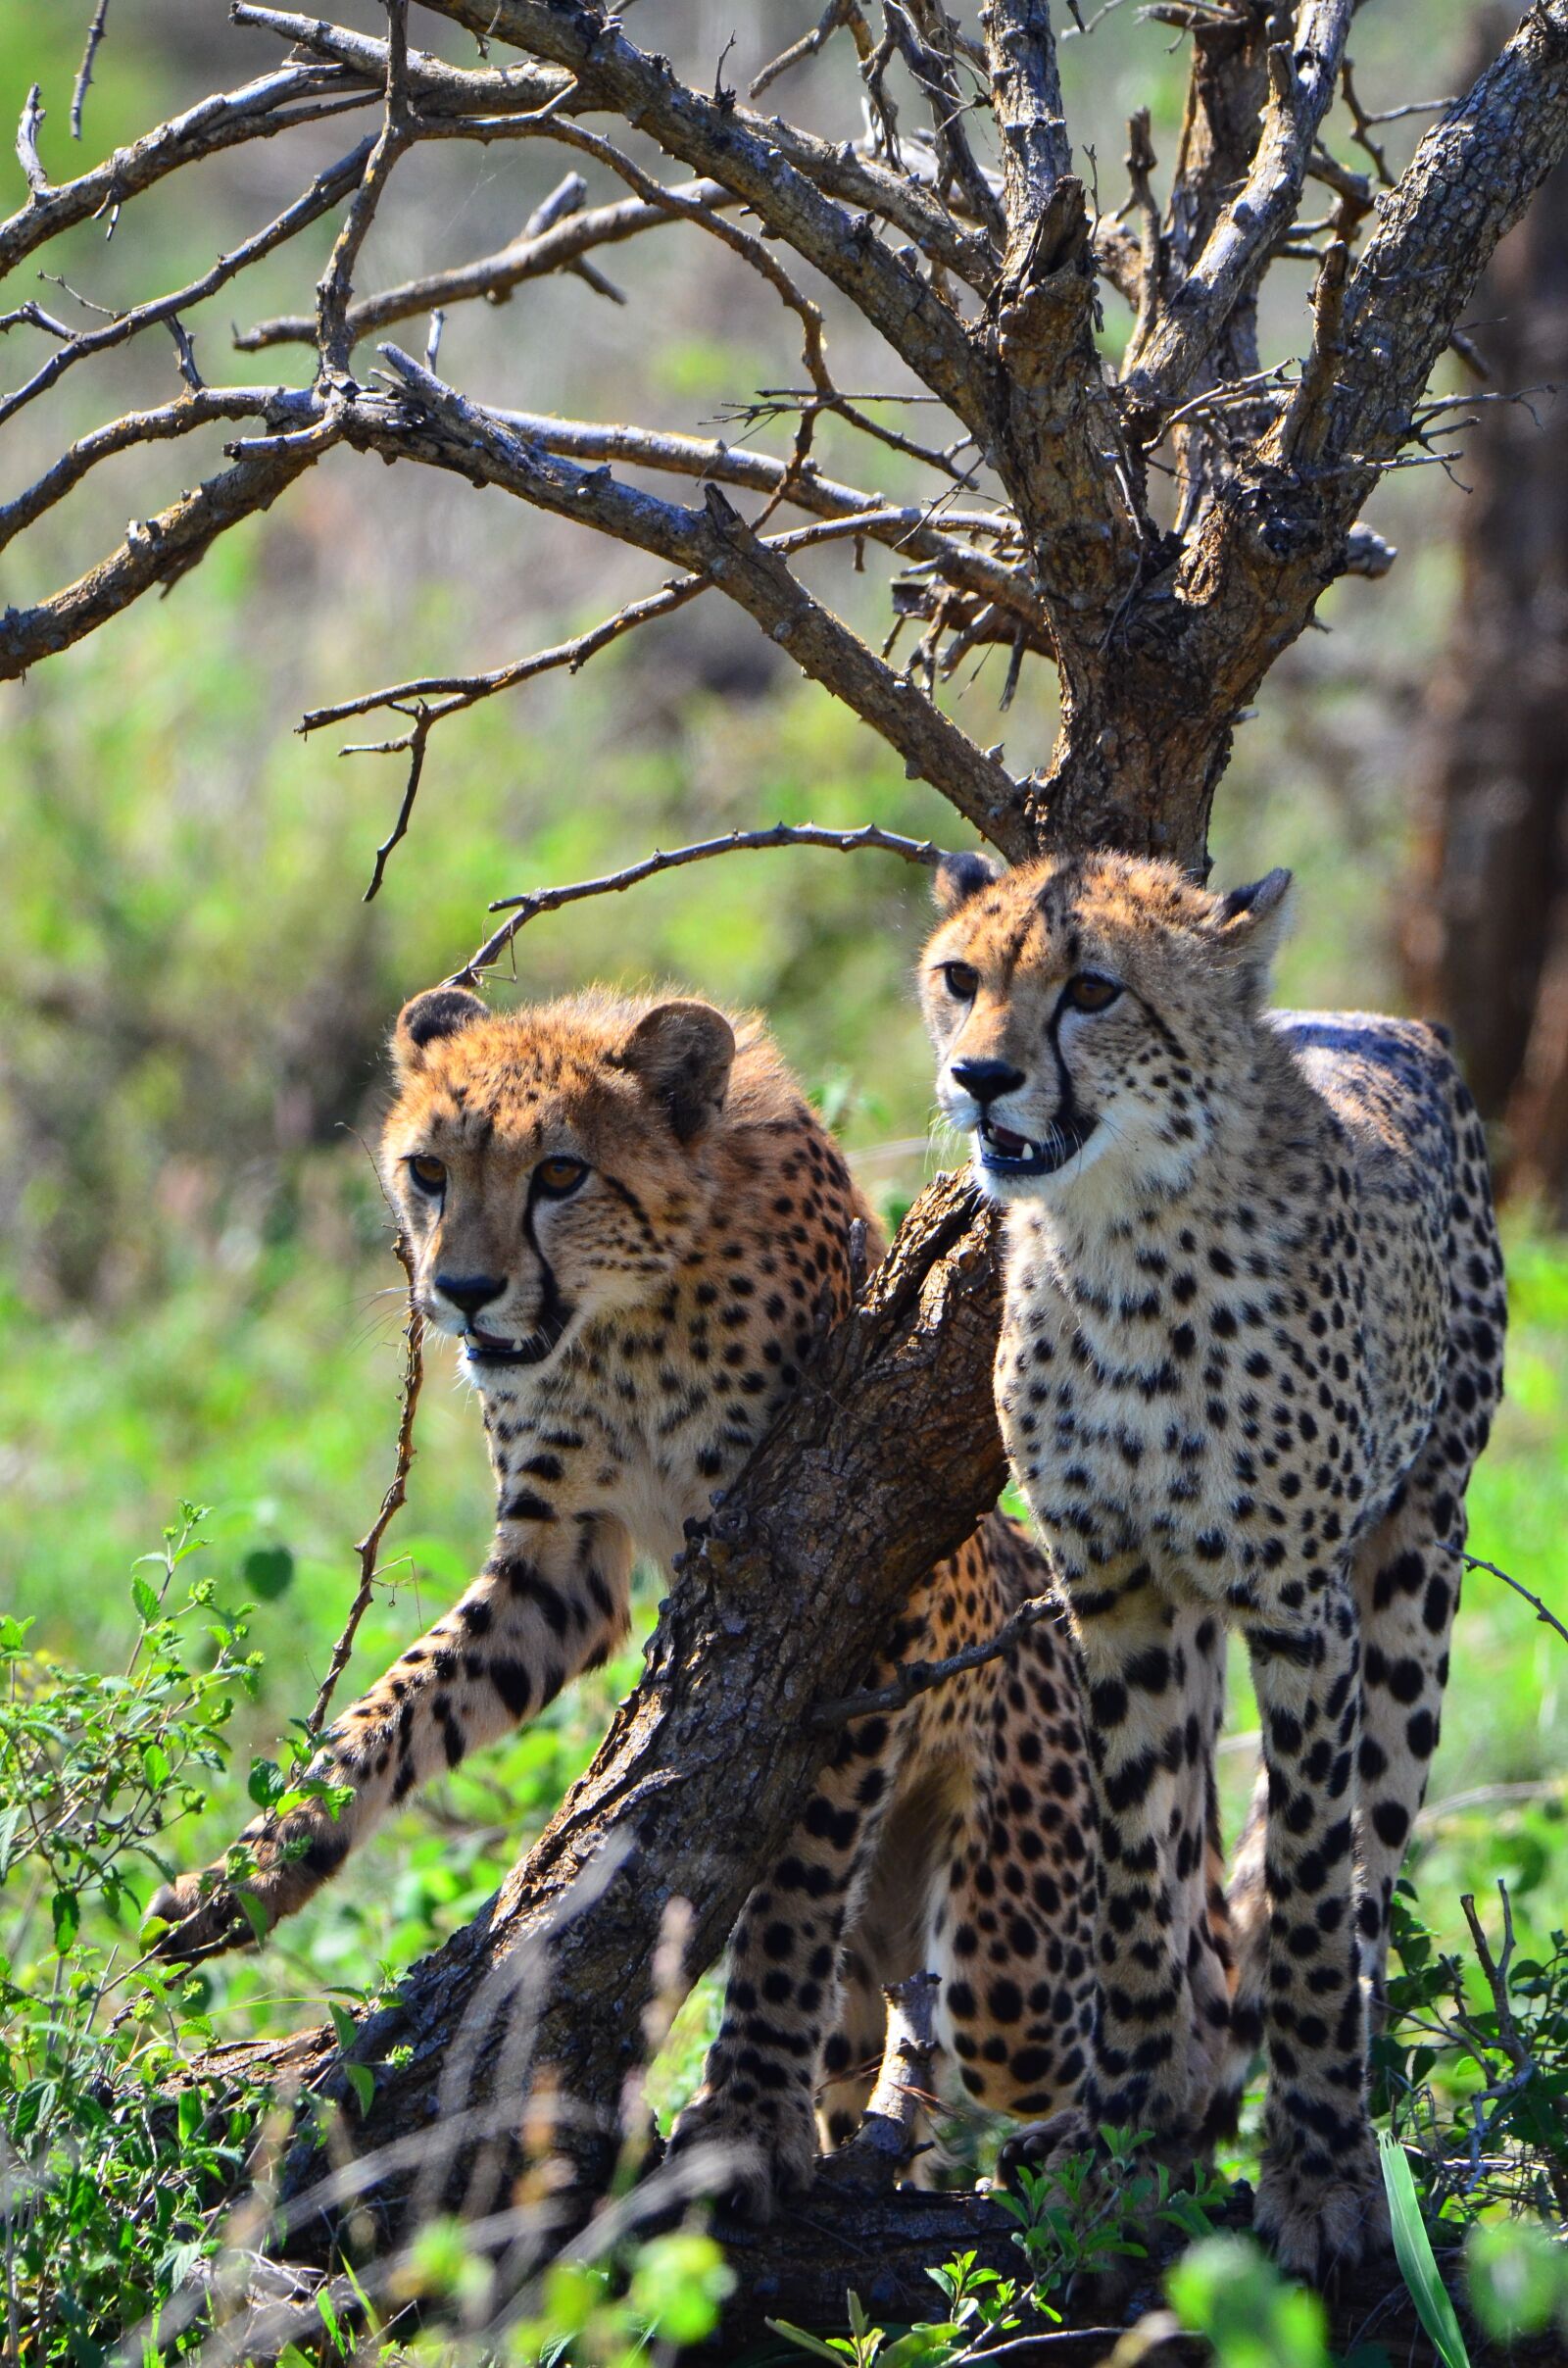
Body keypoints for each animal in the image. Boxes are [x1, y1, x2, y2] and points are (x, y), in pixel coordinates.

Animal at [145, 981, 1238, 2213]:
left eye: (560, 1173)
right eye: (429, 1170)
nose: (461, 1292)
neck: (624, 1312)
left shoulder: (839, 1582)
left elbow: (793, 1890)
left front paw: (745, 2113)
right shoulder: (559, 1565)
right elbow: (392, 1710)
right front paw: (249, 1874)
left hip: (1018, 1960)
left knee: (1134, 2002)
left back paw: (1142, 2138)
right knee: (890, 2019)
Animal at [920, 845, 1507, 2279]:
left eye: (1091, 990)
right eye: (959, 977)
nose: (979, 1076)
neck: (1120, 1242)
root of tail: (1380, 1019)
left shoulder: (1300, 1612)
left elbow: (1303, 1885)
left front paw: (1321, 2173)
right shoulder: (1116, 1591)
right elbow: (1138, 1877)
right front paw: (1117, 2147)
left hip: (1417, 1563)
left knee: (1365, 1862)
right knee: (1194, 1854)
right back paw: (1175, 2089)